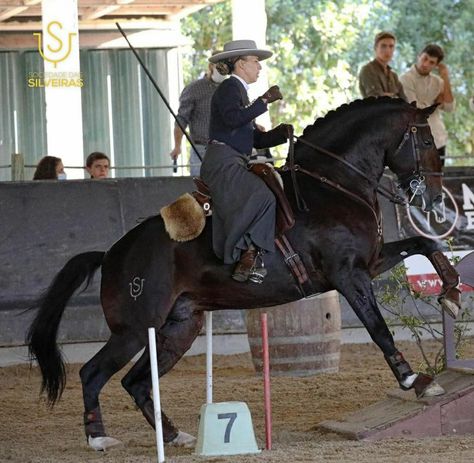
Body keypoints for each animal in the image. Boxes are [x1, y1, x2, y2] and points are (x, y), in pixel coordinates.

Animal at [25, 97, 460, 450]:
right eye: (425, 142)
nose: (434, 198)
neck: (334, 184)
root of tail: (113, 252)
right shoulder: (348, 275)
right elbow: (378, 328)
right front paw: (415, 381)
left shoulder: (369, 263)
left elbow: (426, 245)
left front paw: (452, 293)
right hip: (133, 330)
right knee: (93, 373)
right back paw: (98, 438)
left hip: (178, 329)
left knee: (136, 382)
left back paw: (176, 435)